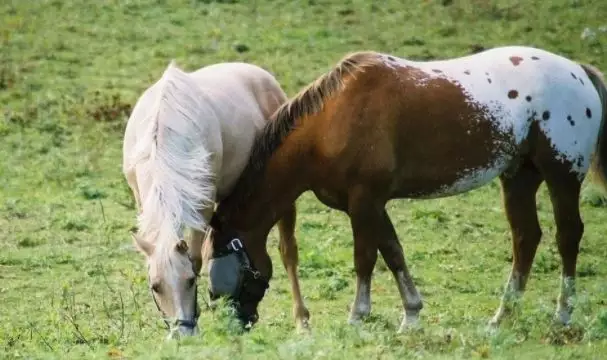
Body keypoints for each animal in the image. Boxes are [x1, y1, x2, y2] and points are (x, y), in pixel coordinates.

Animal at [121, 61, 308, 338]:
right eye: (155, 286)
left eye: (190, 281)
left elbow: (197, 259)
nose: (182, 334)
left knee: (288, 253)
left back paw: (302, 321)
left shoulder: (203, 206)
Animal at [208, 46, 607, 334]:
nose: (236, 325)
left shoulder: (364, 201)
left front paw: (357, 316)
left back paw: (562, 315)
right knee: (526, 238)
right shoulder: (372, 204)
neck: (333, 120)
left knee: (567, 236)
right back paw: (502, 318)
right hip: (519, 178)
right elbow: (393, 252)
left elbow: (365, 259)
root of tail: (578, 71)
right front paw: (411, 315)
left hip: (562, 176)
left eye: (226, 266)